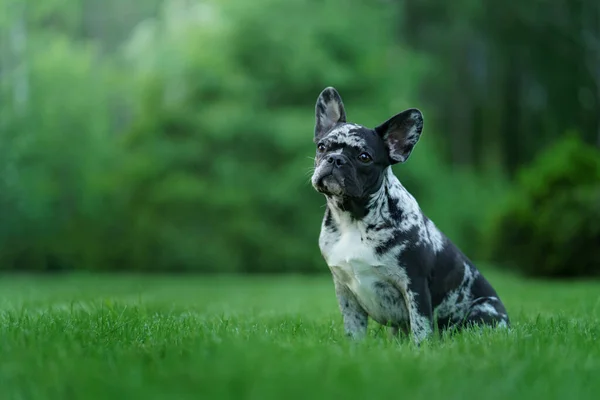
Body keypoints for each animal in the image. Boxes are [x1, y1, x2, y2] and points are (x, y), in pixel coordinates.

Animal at [310, 87, 510, 344]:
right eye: (322, 147)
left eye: (364, 157)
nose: (335, 159)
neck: (353, 219)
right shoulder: (345, 291)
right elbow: (354, 330)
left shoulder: (414, 285)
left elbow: (421, 328)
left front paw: (420, 350)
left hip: (481, 311)